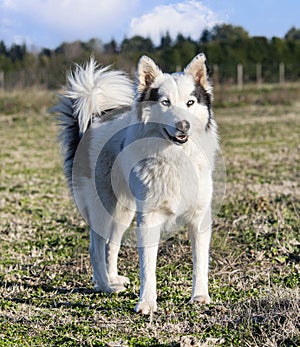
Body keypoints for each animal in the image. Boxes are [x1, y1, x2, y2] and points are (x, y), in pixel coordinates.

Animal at [55, 53, 218, 316]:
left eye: (191, 102)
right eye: (165, 103)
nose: (183, 125)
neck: (174, 156)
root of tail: (92, 122)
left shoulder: (200, 218)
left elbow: (200, 262)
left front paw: (200, 296)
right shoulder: (148, 218)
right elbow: (147, 266)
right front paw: (147, 303)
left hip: (124, 211)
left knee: (111, 244)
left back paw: (113, 278)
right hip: (102, 208)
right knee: (96, 246)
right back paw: (105, 286)